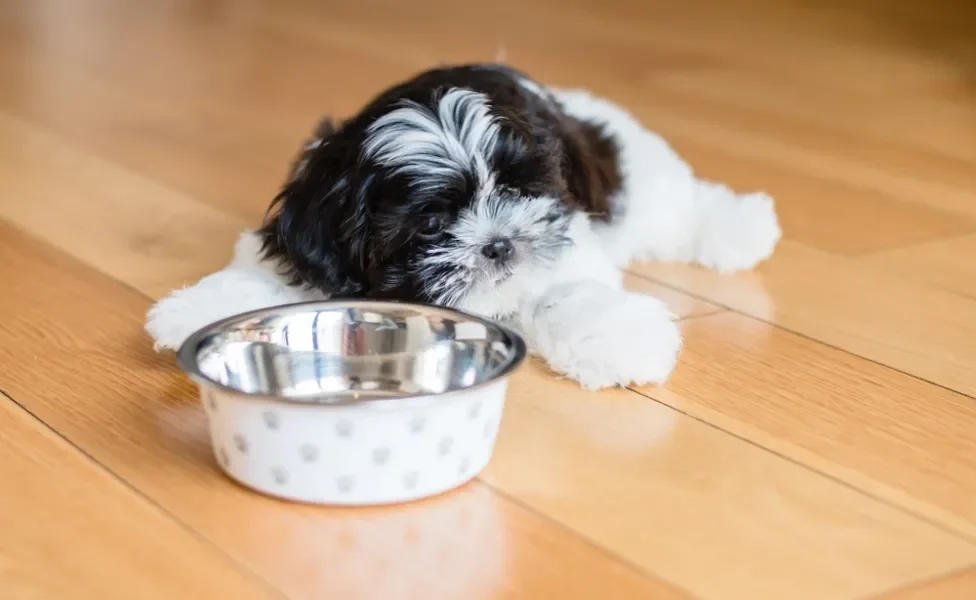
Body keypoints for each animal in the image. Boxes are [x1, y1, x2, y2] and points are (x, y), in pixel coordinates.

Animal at [147, 62, 784, 390]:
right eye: (431, 223)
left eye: (518, 191)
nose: (498, 244)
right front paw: (198, 310)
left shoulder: (567, 245)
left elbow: (562, 293)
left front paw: (619, 342)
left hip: (640, 186)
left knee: (683, 206)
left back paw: (741, 226)